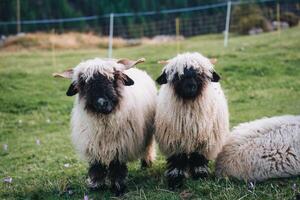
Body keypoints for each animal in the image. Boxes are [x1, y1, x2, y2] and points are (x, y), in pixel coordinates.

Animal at [53, 57, 157, 196]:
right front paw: (97, 186)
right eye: (84, 84)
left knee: (148, 147)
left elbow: (116, 168)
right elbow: (97, 167)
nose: (102, 103)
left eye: (113, 79)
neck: (104, 124)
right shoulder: (93, 146)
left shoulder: (119, 147)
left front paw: (117, 188)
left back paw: (146, 163)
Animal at [155, 52, 230, 189]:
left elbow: (198, 158)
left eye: (200, 74)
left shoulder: (204, 141)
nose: (190, 86)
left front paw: (200, 176)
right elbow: (178, 161)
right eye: (178, 76)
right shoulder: (175, 141)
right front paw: (176, 180)